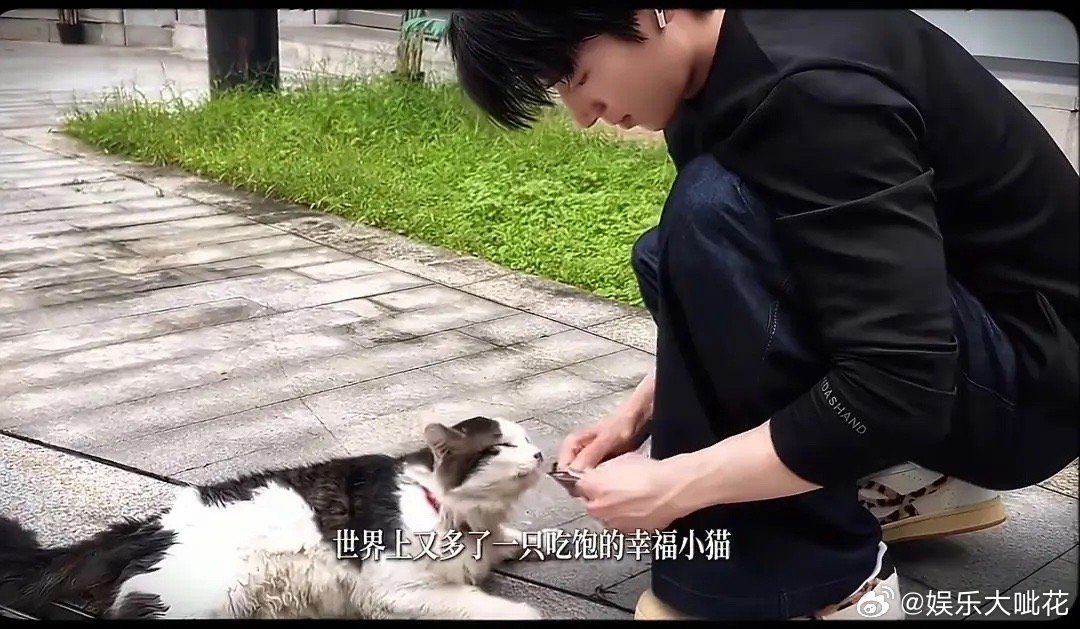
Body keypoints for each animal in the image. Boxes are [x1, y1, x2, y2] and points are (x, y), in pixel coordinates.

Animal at [0, 416, 550, 620]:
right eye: (501, 447)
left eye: (526, 439)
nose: (542, 453)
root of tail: (150, 527)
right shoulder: (402, 590)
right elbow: (512, 610)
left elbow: (515, 538)